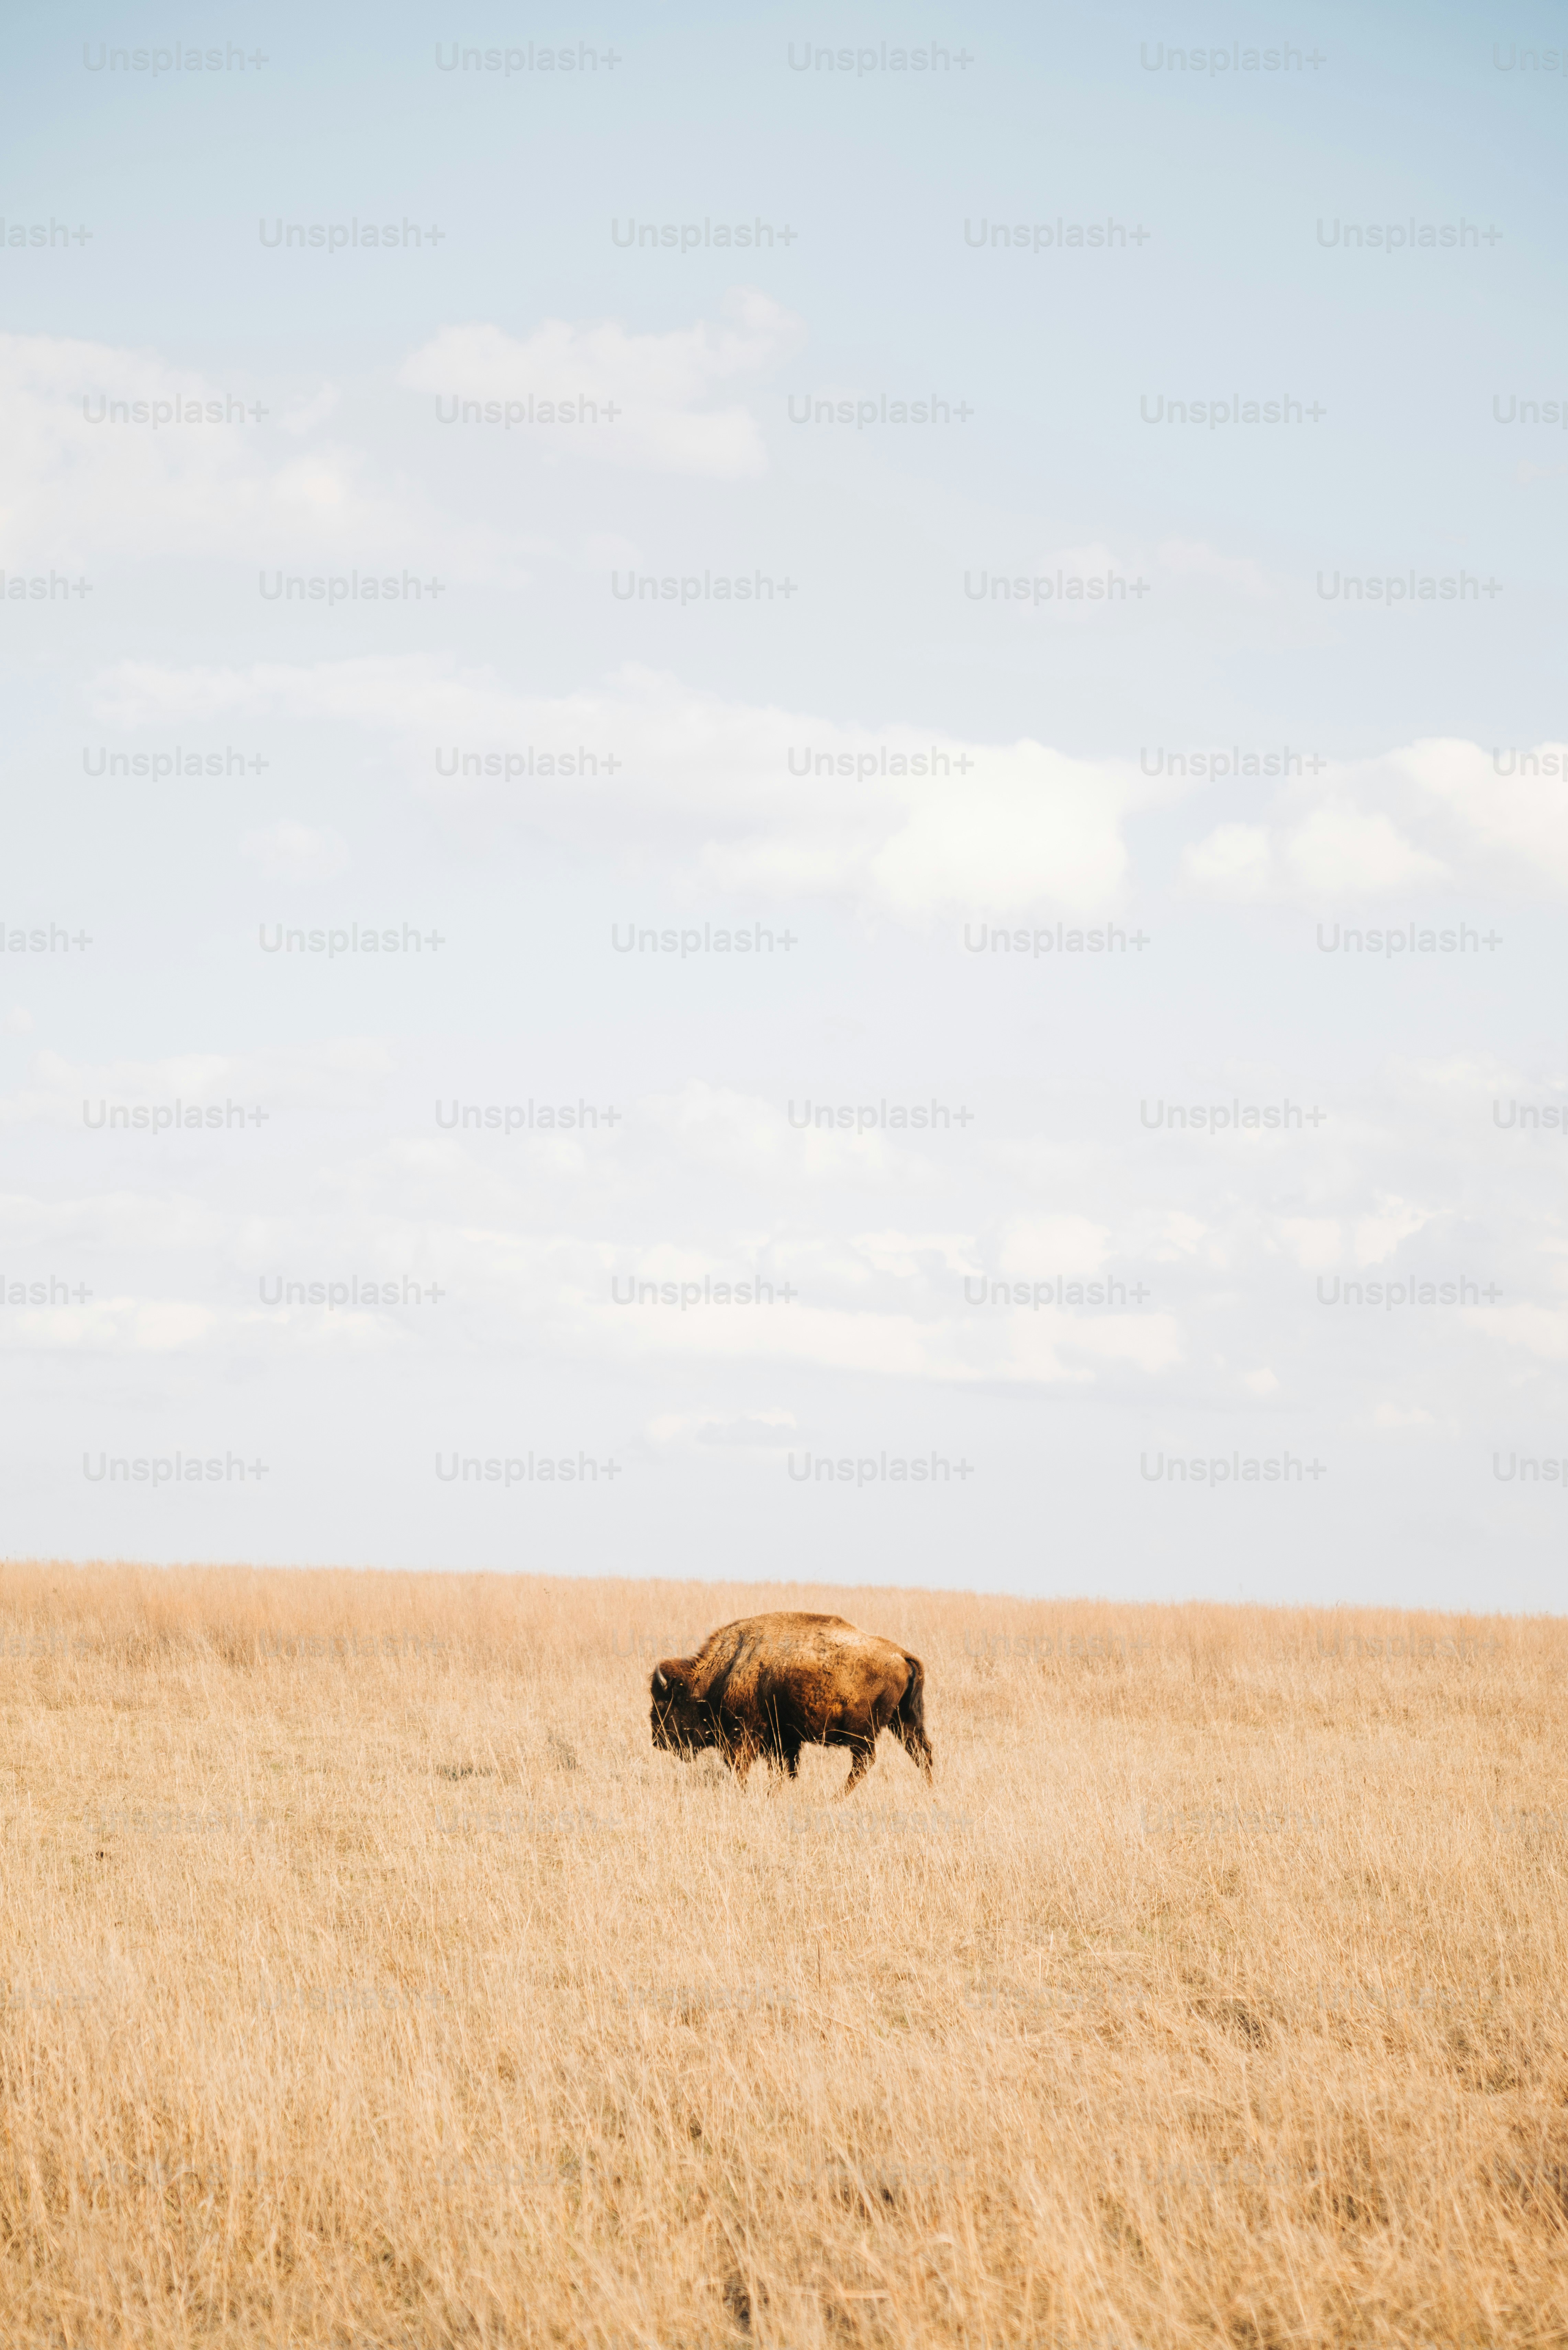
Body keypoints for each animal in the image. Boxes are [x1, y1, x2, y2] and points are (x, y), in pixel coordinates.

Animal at [649, 1611, 933, 1798]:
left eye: (664, 1703)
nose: (657, 1740)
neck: (728, 1668)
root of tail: (901, 1655)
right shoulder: (783, 1739)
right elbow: (784, 1769)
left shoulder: (747, 1733)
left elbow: (741, 1766)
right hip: (904, 1722)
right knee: (922, 1752)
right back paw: (930, 1789)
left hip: (863, 1731)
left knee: (865, 1762)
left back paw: (836, 1798)